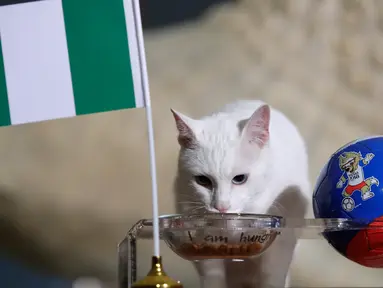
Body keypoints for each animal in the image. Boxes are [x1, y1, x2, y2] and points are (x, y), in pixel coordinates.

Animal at [171, 99, 312, 288]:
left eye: (240, 178)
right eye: (202, 180)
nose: (221, 207)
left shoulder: (282, 239)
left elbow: (272, 273)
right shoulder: (202, 244)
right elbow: (212, 275)